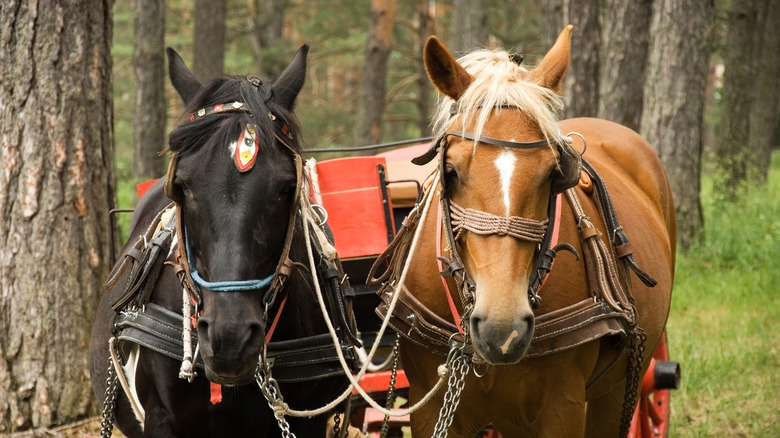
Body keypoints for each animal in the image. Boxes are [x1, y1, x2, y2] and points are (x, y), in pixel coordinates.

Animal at [374, 27, 672, 438]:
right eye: (450, 171)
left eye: (552, 173)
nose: (504, 328)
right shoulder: (431, 407)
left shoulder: (562, 408)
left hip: (618, 391)